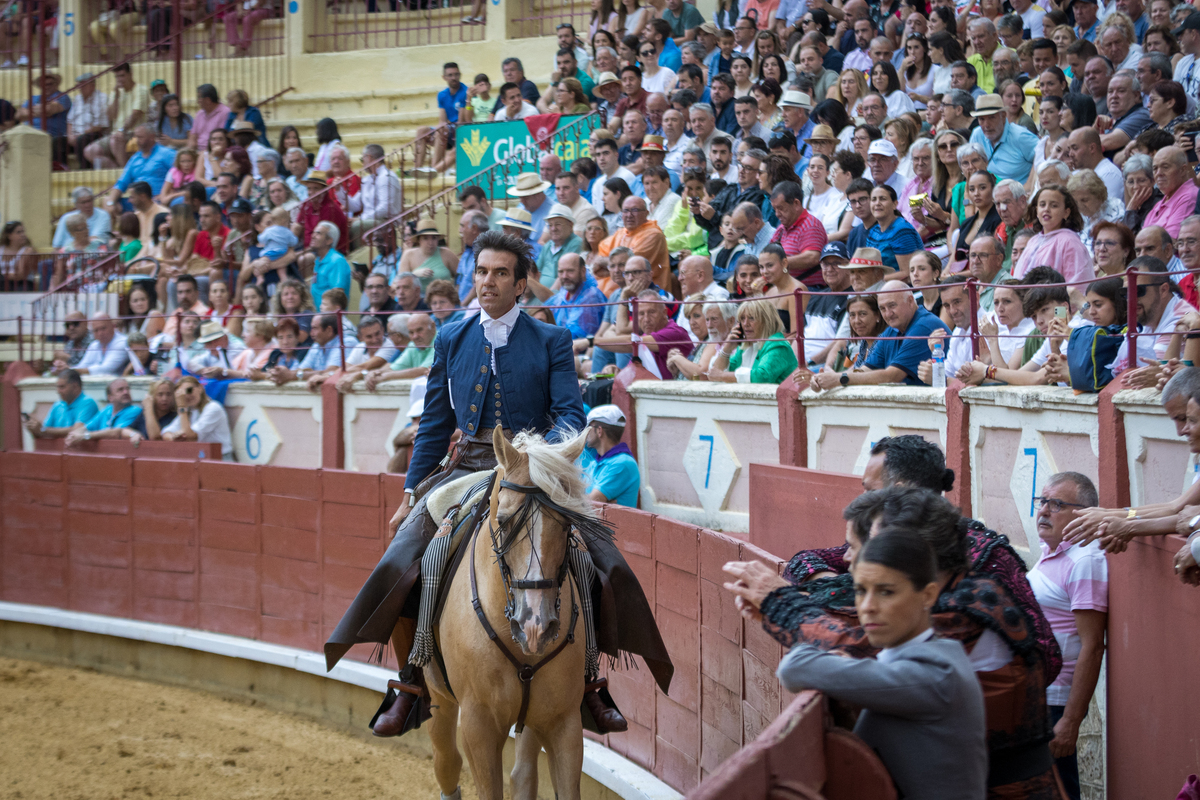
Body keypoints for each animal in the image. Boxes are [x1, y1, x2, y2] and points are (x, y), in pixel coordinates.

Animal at [429, 429, 597, 796]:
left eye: (567, 523)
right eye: (503, 522)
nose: (535, 626)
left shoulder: (564, 721)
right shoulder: (477, 725)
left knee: (523, 772)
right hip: (438, 693)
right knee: (446, 759)